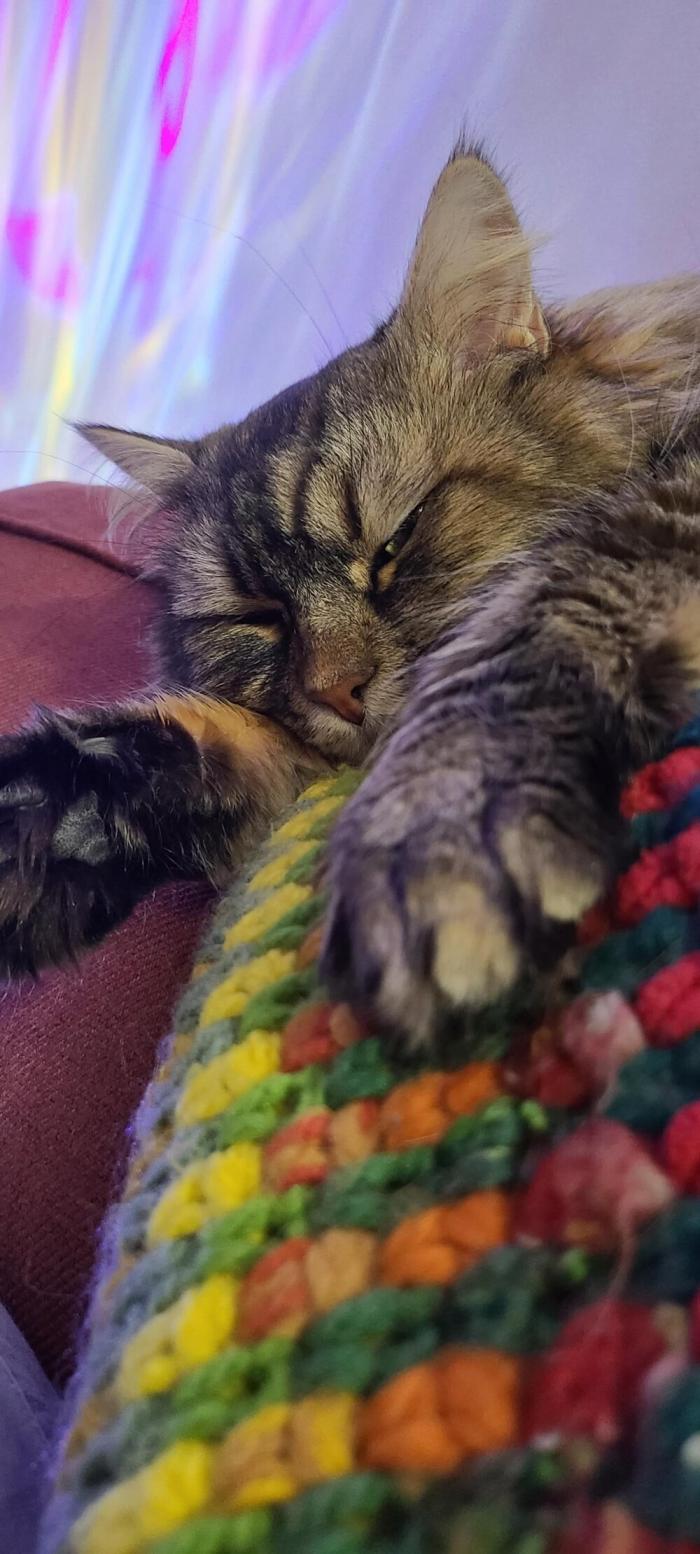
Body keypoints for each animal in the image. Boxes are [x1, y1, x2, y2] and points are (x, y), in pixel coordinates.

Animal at [1, 141, 699, 1033]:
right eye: (258, 615)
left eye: (395, 542)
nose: (338, 692)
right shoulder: (282, 765)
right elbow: (164, 743)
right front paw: (37, 824)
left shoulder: (648, 510)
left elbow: (514, 642)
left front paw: (435, 829)